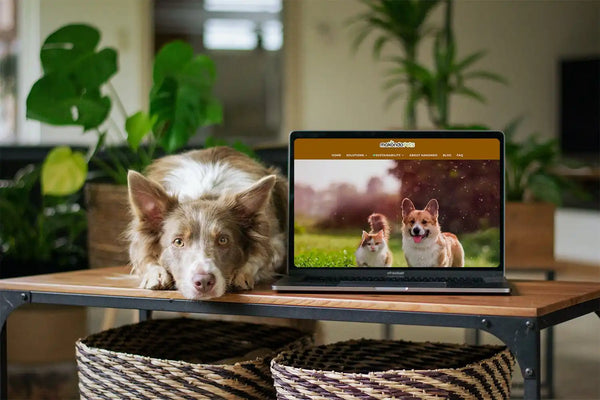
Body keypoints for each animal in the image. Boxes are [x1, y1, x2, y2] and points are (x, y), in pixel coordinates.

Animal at [126, 145, 288, 298]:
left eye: (223, 240)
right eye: (178, 241)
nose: (203, 281)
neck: (205, 195)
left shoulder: (275, 243)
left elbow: (260, 257)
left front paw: (241, 273)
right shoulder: (137, 243)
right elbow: (143, 257)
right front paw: (156, 274)